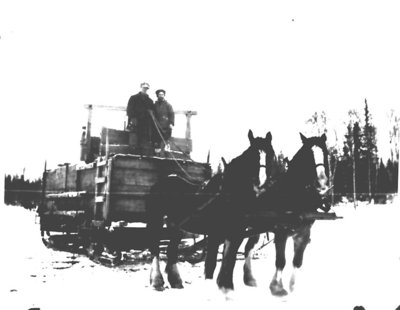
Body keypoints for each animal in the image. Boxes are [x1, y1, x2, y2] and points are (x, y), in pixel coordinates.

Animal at [145, 128, 274, 290]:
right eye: (253, 156)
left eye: (270, 154)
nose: (261, 184)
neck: (227, 192)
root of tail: (161, 182)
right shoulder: (214, 234)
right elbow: (211, 264)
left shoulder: (236, 233)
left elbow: (229, 259)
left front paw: (227, 285)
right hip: (156, 219)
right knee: (155, 247)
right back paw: (157, 280)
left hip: (176, 226)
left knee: (171, 249)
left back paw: (175, 281)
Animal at [214, 133, 330, 294]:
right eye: (309, 154)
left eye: (325, 152)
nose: (322, 183)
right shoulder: (281, 232)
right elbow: (281, 261)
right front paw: (277, 287)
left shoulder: (304, 233)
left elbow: (297, 261)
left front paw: (292, 286)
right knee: (229, 246)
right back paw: (224, 281)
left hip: (255, 227)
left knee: (247, 247)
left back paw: (248, 278)